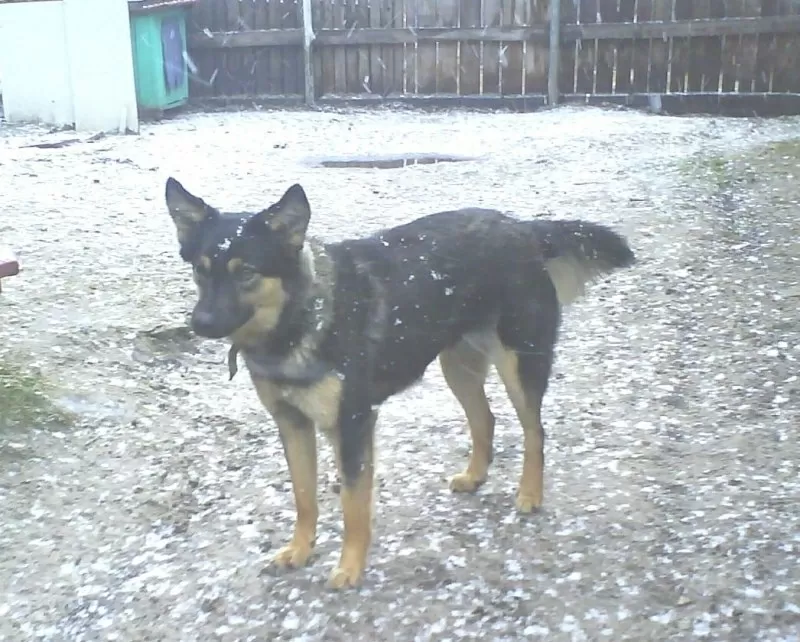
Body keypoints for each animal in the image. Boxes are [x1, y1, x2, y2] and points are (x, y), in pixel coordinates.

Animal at [166, 178, 636, 588]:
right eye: (200, 271)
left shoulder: (353, 425)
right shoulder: (291, 423)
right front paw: (300, 551)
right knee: (486, 419)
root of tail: (523, 227)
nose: (199, 323)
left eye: (245, 272)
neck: (298, 319)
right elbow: (303, 497)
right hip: (457, 366)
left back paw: (530, 494)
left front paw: (350, 567)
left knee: (535, 430)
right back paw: (475, 476)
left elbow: (353, 505)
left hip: (519, 363)